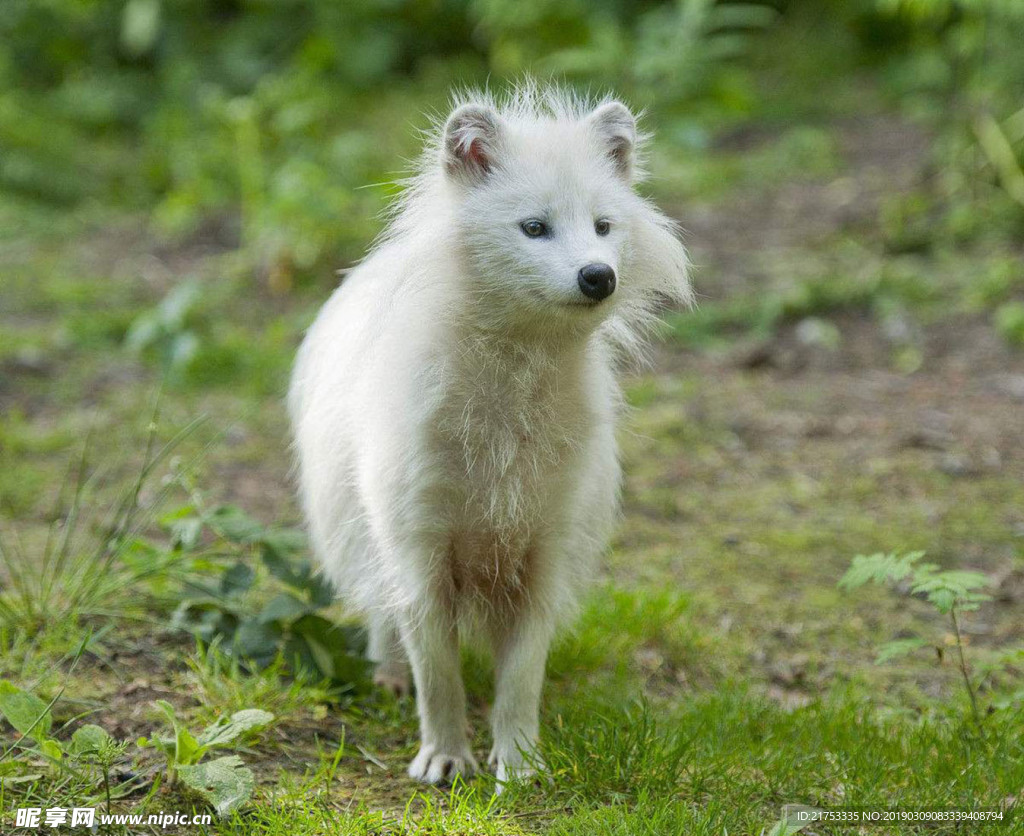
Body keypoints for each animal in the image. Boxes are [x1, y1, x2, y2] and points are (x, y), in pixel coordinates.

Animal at [284, 86, 692, 790]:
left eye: (603, 226)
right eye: (533, 228)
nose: (598, 276)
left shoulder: (547, 547)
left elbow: (521, 674)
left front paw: (519, 761)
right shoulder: (418, 547)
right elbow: (437, 671)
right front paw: (444, 757)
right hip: (358, 526)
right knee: (381, 610)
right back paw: (387, 676)